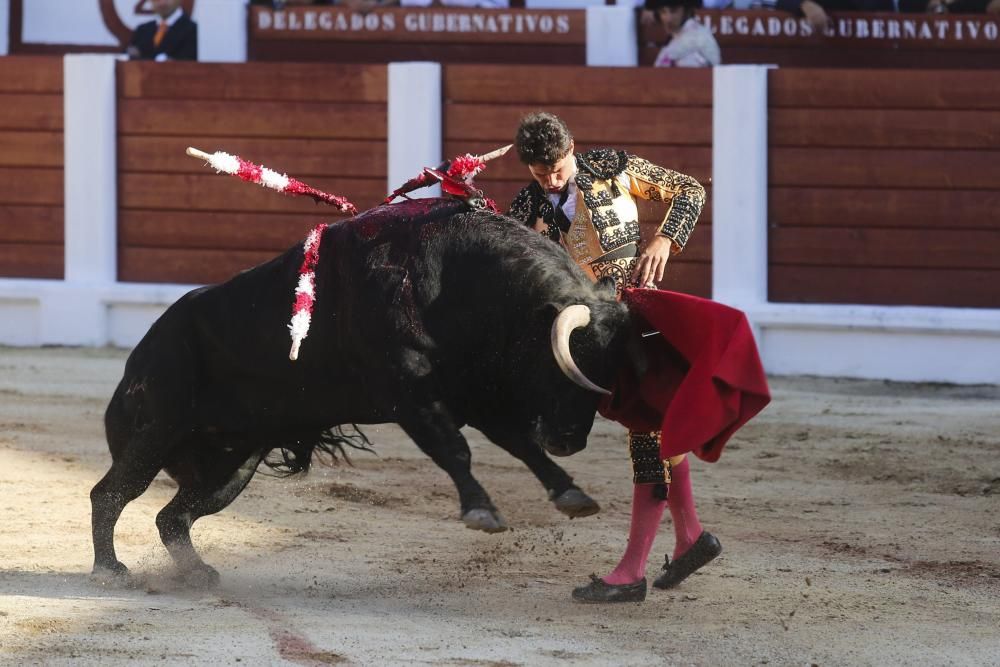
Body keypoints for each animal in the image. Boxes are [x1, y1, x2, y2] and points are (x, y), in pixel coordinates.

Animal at [95, 201, 640, 588]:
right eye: (562, 364)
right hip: (158, 429)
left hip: (232, 465)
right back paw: (110, 571)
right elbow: (454, 448)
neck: (455, 281)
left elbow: (519, 444)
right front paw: (481, 511)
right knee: (111, 493)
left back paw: (197, 574)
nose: (570, 440)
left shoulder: (475, 396)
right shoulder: (409, 393)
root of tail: (137, 359)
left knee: (172, 516)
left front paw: (571, 493)